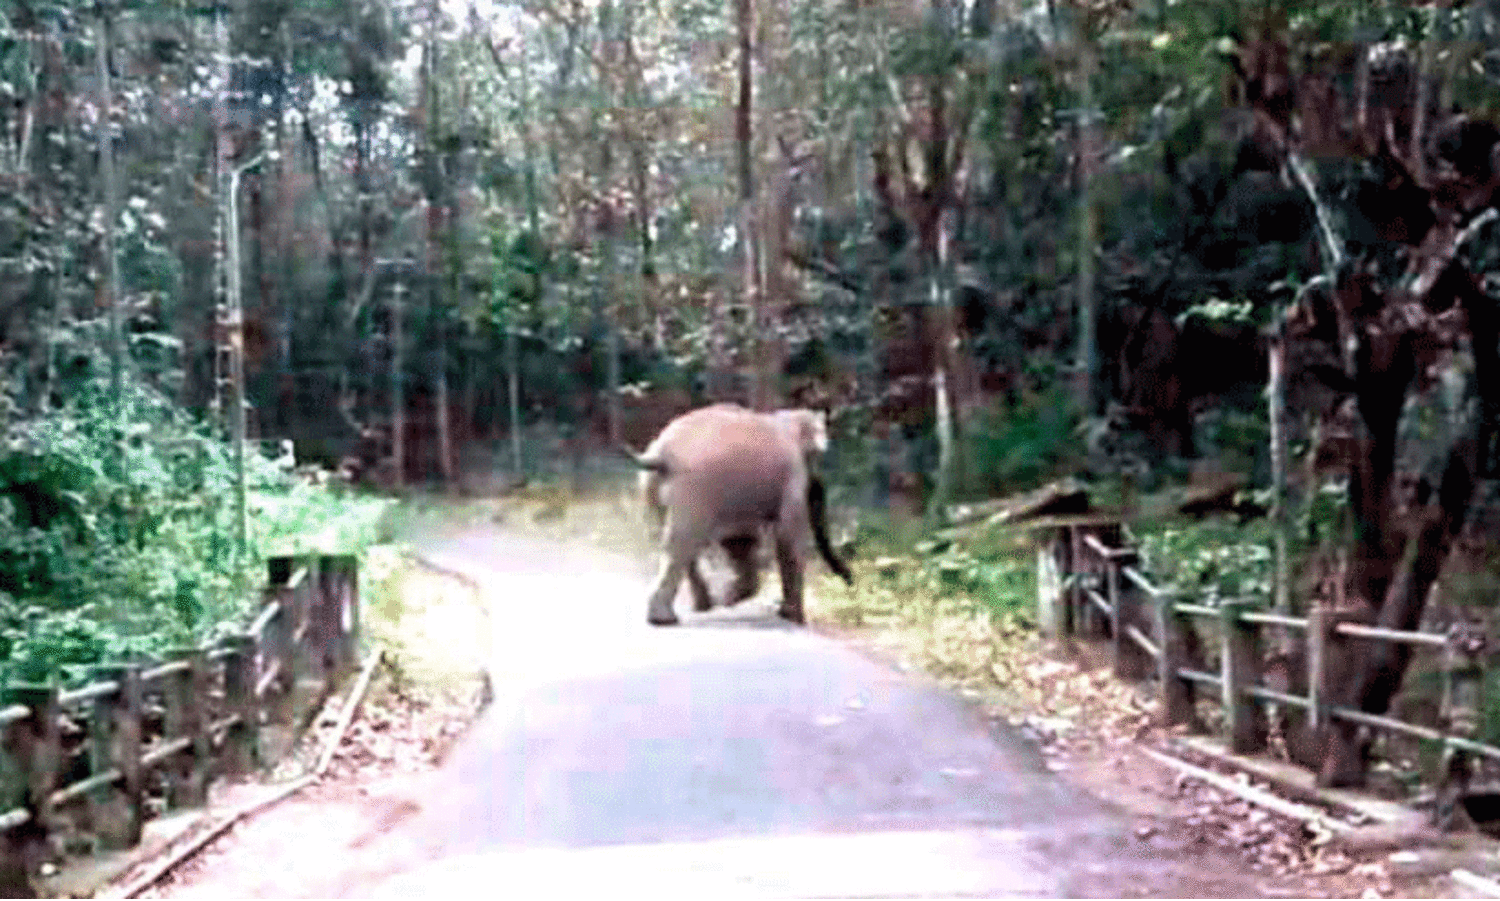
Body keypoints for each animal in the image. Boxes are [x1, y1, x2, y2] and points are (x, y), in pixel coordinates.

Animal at [629, 403, 853, 626]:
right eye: (817, 455)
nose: (850, 579)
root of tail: (660, 454)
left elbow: (740, 542)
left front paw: (728, 600)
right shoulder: (793, 477)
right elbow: (788, 535)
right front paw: (794, 618)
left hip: (651, 489)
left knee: (673, 541)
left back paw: (705, 605)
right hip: (693, 490)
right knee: (681, 543)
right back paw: (667, 618)